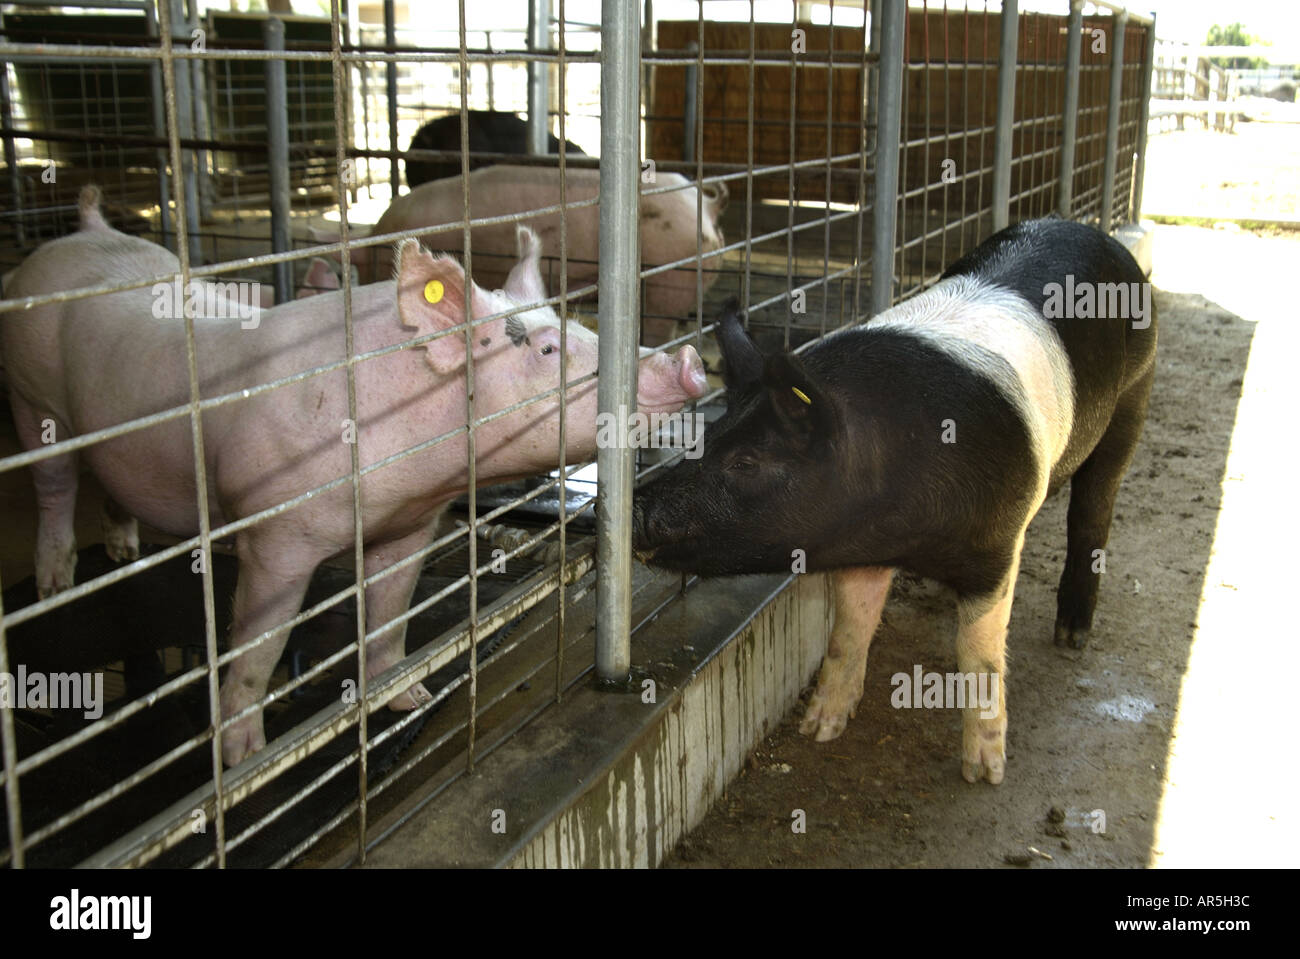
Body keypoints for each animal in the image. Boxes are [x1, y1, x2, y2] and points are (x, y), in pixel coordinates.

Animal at [2, 187, 712, 764]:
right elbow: (257, 645)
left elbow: (391, 618)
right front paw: (245, 757)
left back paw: (122, 551)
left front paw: (410, 697)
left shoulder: (410, 525)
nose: (688, 359)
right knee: (56, 486)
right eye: (546, 349)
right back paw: (55, 583)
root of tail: (84, 229)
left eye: (570, 325)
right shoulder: (277, 535)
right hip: (34, 404)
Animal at [634, 217, 1154, 784]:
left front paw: (984, 773)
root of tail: (1095, 234)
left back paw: (1072, 636)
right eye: (706, 437)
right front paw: (819, 729)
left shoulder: (997, 544)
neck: (904, 530)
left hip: (1134, 393)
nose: (624, 510)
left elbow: (980, 651)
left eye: (747, 462)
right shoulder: (862, 548)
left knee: (1093, 511)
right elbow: (848, 628)